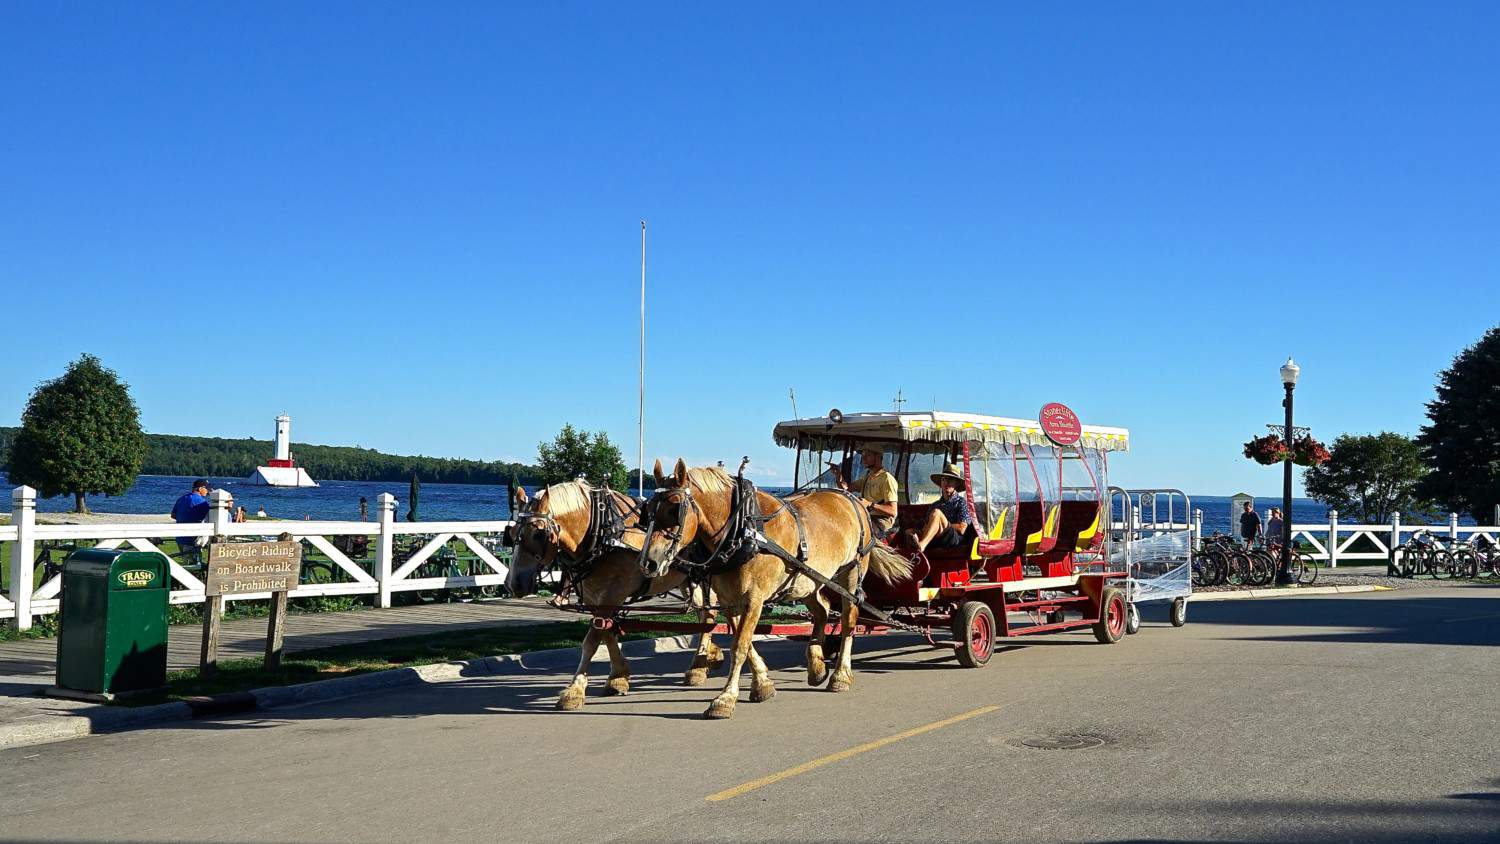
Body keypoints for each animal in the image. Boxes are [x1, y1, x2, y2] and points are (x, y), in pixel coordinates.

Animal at [507, 479, 723, 710]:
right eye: (511, 534)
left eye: (538, 534)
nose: (513, 584)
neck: (601, 532)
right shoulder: (596, 598)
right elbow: (607, 633)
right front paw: (618, 677)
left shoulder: (612, 595)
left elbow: (591, 641)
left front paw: (574, 691)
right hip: (686, 580)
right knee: (705, 614)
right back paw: (709, 655)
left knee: (708, 614)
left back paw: (698, 667)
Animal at [639, 461, 906, 719]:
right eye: (647, 510)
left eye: (674, 509)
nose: (648, 562)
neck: (742, 529)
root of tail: (853, 499)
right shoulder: (729, 600)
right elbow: (743, 643)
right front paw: (763, 685)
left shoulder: (754, 599)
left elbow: (740, 646)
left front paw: (725, 699)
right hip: (807, 578)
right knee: (822, 610)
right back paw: (817, 667)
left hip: (850, 572)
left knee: (849, 620)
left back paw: (840, 675)